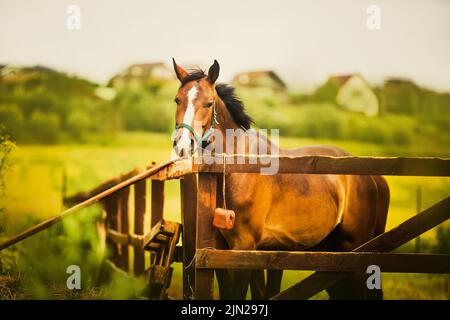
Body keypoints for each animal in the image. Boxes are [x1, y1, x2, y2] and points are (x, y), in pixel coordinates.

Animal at [171, 58, 388, 300]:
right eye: (177, 99)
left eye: (208, 104)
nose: (183, 145)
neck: (239, 171)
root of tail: (375, 179)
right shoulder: (221, 251)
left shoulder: (243, 248)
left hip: (354, 251)